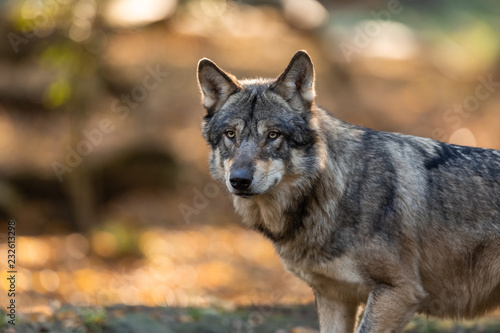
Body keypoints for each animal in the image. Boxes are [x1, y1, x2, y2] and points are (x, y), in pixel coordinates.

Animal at [196, 50, 500, 332]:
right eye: (231, 134)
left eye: (273, 135)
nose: (239, 180)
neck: (334, 192)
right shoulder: (334, 297)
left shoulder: (399, 292)